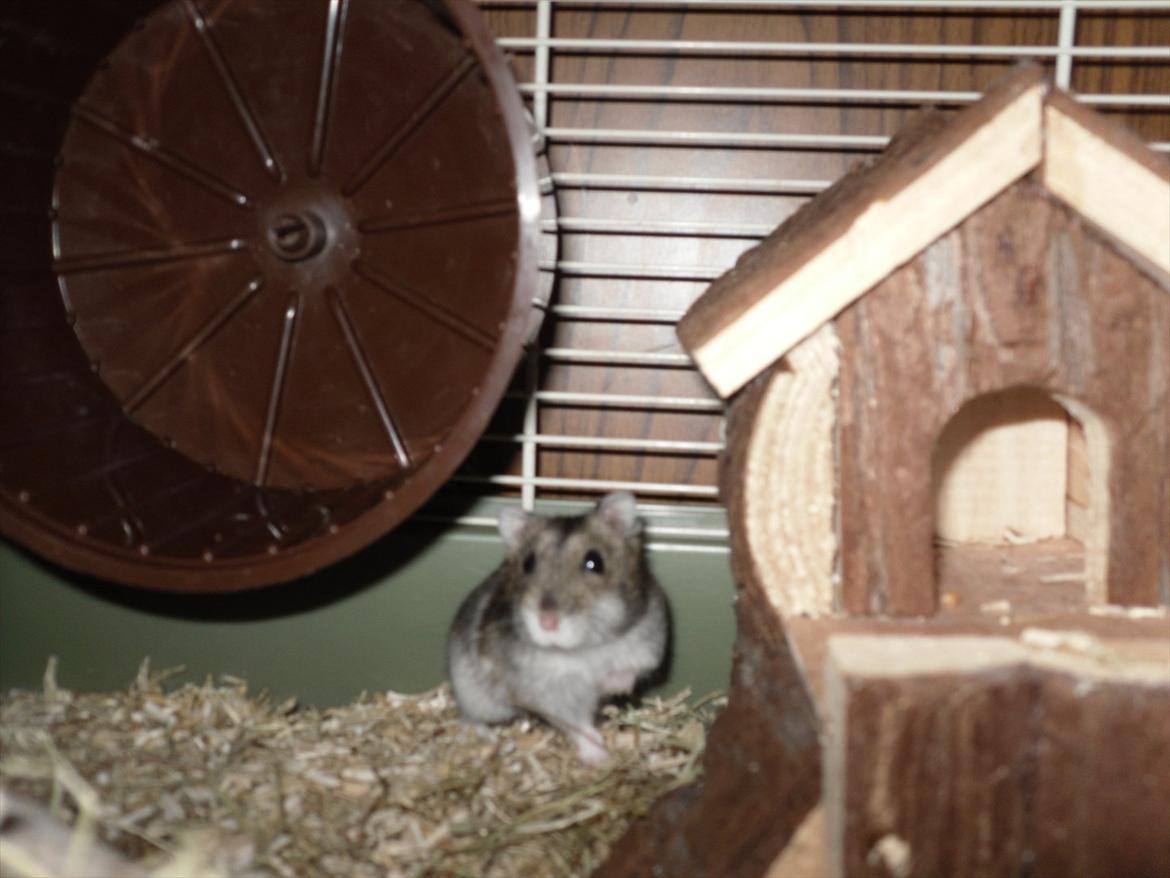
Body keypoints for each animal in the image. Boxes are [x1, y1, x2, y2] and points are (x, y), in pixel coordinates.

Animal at [447, 491, 669, 765]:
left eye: (594, 561)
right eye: (528, 563)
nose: (547, 623)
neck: (582, 649)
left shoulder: (650, 643)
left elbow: (630, 669)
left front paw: (609, 686)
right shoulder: (549, 697)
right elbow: (576, 726)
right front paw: (601, 757)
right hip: (474, 696)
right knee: (469, 717)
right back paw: (485, 738)